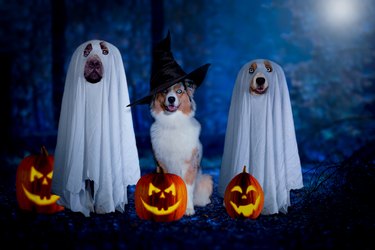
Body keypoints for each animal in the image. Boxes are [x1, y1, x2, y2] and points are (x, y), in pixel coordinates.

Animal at [151, 79, 214, 215]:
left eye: (179, 91)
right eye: (164, 91)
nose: (171, 99)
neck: (172, 123)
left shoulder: (189, 164)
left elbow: (188, 188)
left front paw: (189, 209)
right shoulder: (163, 164)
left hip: (206, 178)